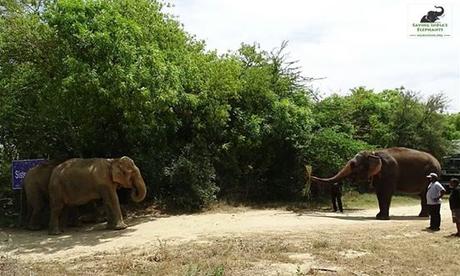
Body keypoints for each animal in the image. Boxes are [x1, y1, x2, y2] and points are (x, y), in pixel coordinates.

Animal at [310, 147, 440, 220]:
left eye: (353, 165)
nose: (310, 175)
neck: (373, 153)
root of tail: (438, 163)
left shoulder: (389, 171)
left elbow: (386, 192)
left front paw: (382, 218)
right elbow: (379, 193)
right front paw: (378, 216)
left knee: (425, 194)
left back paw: (423, 216)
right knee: (423, 195)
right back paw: (423, 216)